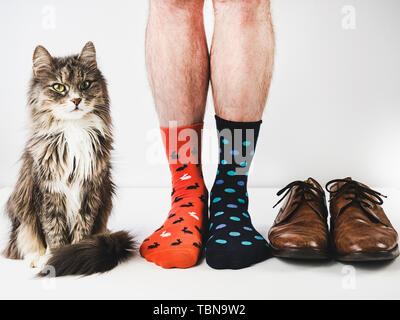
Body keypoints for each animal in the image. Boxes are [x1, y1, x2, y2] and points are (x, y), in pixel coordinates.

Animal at [1, 41, 137, 276]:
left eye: (85, 84)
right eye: (59, 87)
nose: (76, 100)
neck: (73, 130)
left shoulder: (90, 190)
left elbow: (82, 229)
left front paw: (75, 254)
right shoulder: (48, 192)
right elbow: (53, 232)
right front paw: (54, 258)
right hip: (22, 214)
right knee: (24, 242)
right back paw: (37, 258)